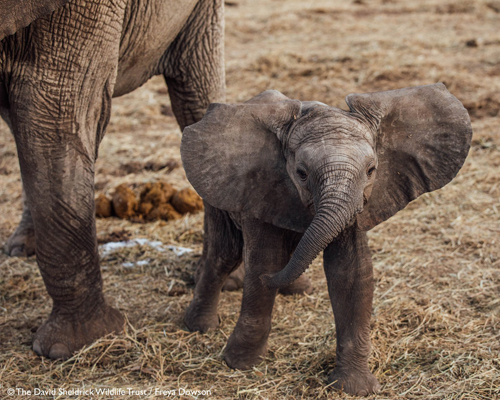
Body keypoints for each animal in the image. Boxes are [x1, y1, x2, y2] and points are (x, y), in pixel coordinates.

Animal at [181, 84, 472, 396]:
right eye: (301, 173)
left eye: (371, 171)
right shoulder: (261, 189)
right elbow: (264, 261)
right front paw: (239, 364)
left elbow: (350, 272)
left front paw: (354, 387)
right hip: (217, 194)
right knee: (225, 252)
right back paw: (200, 327)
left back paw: (297, 290)